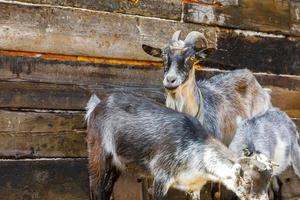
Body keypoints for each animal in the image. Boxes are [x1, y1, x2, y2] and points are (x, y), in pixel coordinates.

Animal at [85, 93, 274, 200]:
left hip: (117, 164)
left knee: (106, 189)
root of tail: (96, 106)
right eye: (247, 180)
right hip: (98, 152)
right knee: (95, 187)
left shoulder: (193, 187)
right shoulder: (161, 177)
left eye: (268, 182)